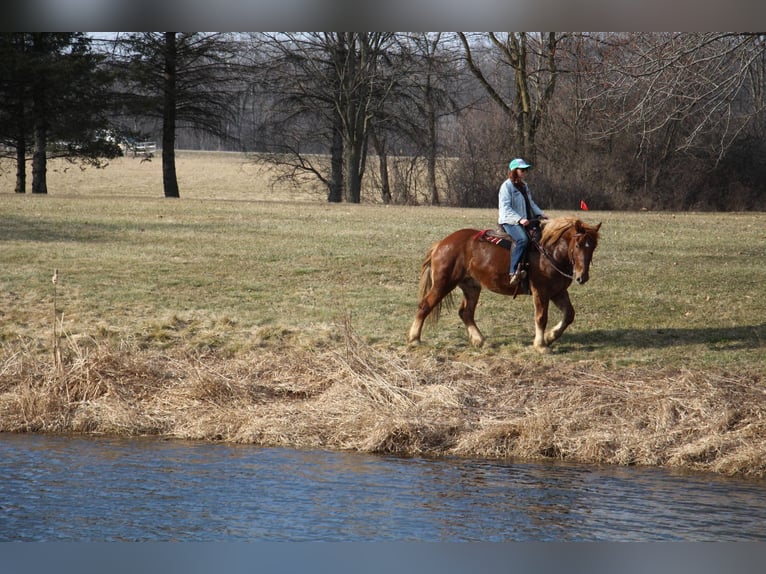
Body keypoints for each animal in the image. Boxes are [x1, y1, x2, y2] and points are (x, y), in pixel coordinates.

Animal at [412, 216, 604, 352]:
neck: (549, 252)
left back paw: (480, 341)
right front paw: (541, 345)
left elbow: (569, 314)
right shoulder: (541, 291)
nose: (582, 277)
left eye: (593, 246)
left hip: (471, 286)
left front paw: (550, 337)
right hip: (443, 283)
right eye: (578, 245)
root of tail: (441, 243)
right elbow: (541, 317)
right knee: (425, 305)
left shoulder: (558, 292)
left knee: (465, 313)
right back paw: (414, 339)